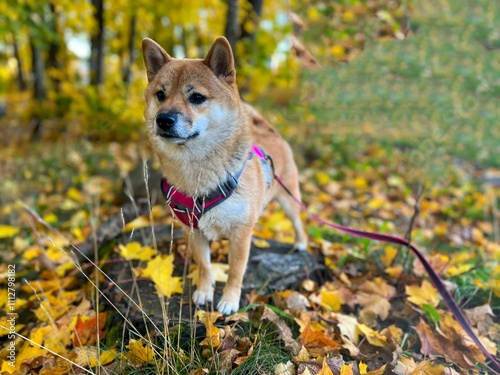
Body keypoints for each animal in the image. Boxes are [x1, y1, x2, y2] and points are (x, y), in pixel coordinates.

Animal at [142, 37, 308, 314]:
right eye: (160, 95)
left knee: (298, 221)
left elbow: (235, 271)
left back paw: (301, 242)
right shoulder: (193, 230)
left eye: (197, 97)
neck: (198, 172)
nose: (163, 119)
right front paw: (204, 292)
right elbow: (205, 265)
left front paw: (229, 300)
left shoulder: (241, 234)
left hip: (288, 199)